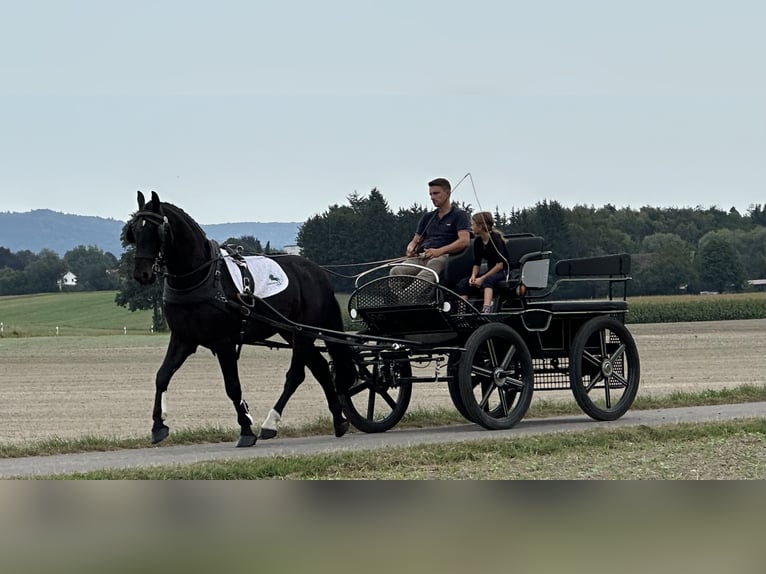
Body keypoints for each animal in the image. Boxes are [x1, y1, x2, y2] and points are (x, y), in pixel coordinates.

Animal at [126, 191, 356, 448]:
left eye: (156, 230)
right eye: (134, 231)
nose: (141, 274)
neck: (201, 277)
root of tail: (317, 272)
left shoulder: (224, 341)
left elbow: (232, 386)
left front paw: (246, 429)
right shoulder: (183, 338)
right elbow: (162, 376)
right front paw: (158, 425)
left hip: (302, 332)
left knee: (297, 374)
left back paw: (271, 422)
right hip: (292, 330)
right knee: (320, 368)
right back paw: (339, 420)